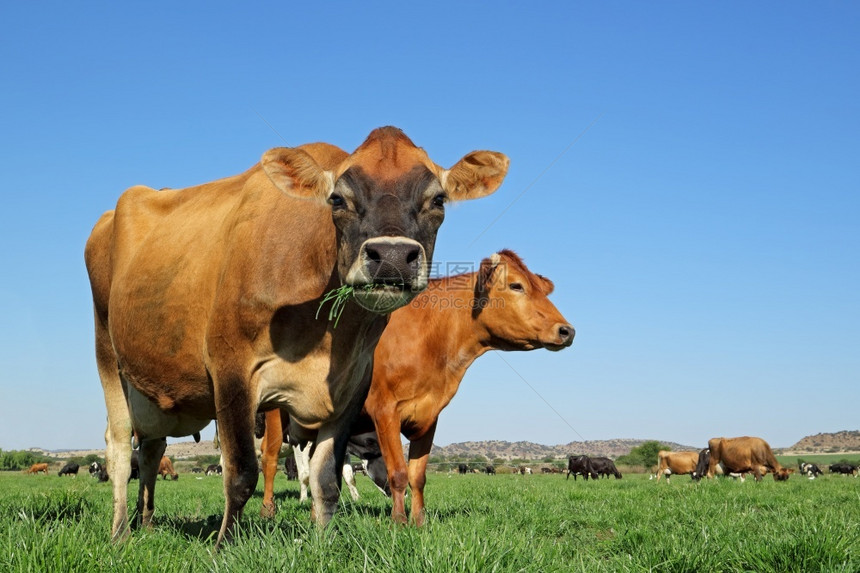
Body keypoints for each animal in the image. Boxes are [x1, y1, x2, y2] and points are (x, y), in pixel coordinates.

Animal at [85, 126, 508, 544]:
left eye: (437, 199)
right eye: (338, 198)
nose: (391, 257)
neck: (325, 335)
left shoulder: (352, 385)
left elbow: (327, 479)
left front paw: (322, 542)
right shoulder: (231, 371)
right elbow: (241, 473)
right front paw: (224, 546)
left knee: (150, 451)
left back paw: (146, 523)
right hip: (108, 354)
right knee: (120, 450)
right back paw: (120, 532)